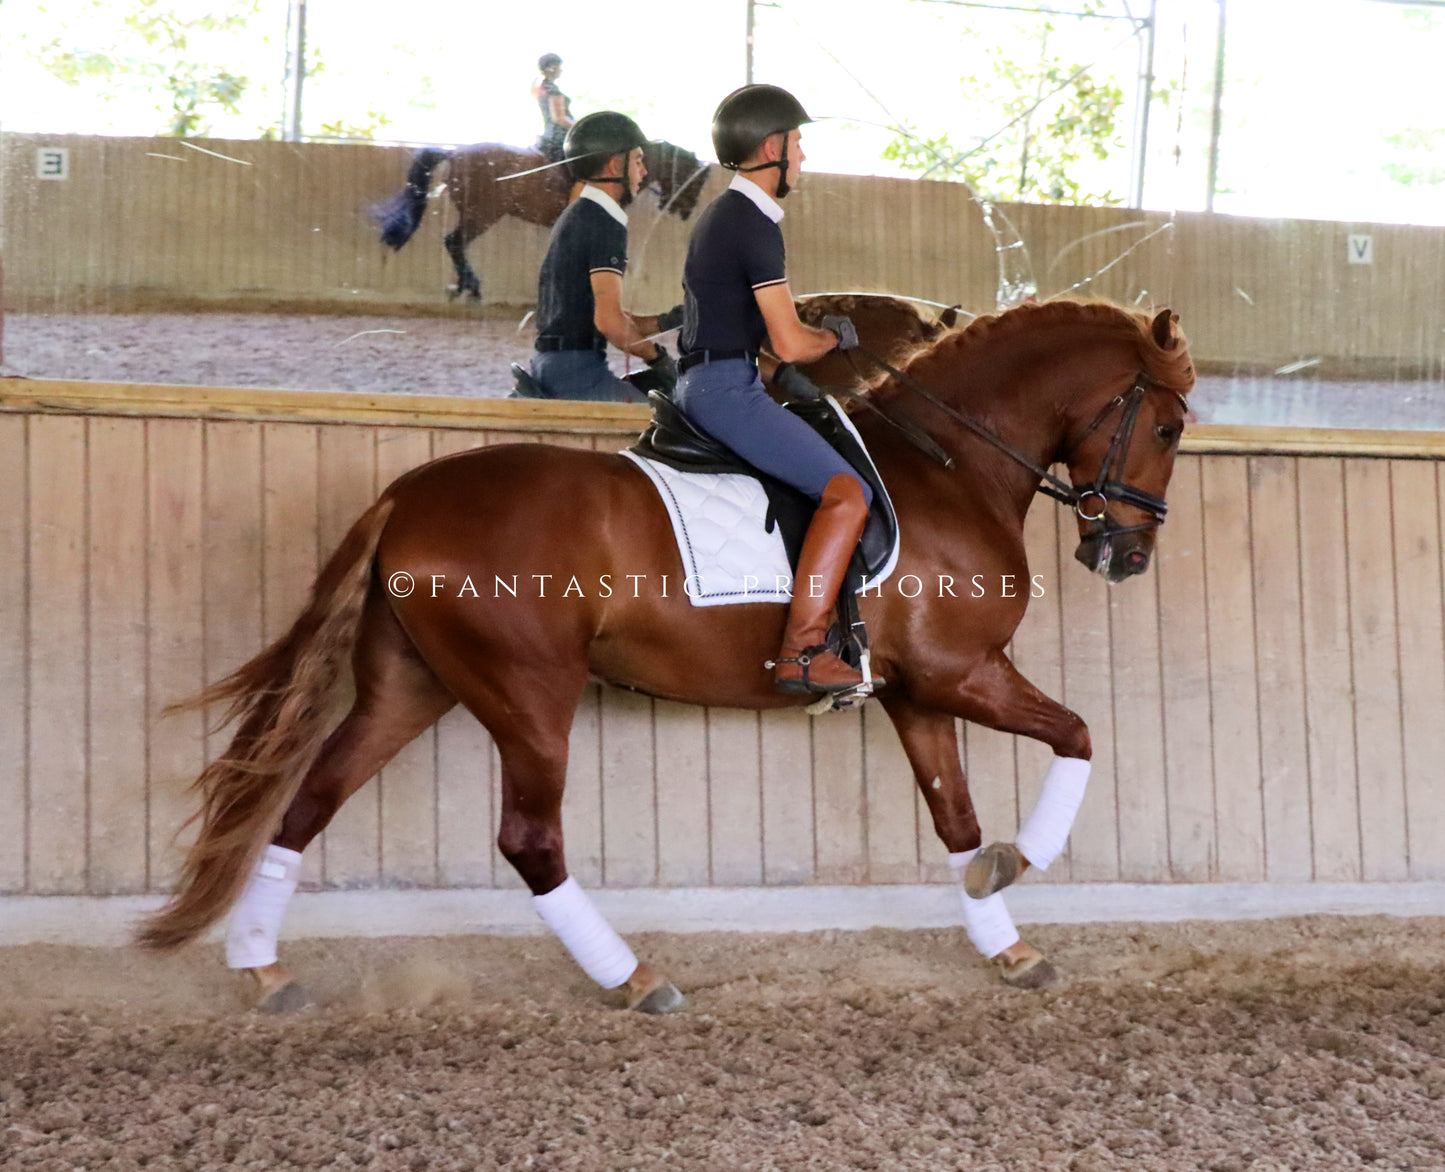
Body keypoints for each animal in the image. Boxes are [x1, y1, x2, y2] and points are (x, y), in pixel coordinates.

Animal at [137, 298, 1195, 1013]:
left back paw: (263, 967)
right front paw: (1024, 862)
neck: (949, 470)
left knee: (310, 797)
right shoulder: (958, 675)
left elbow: (956, 819)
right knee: (529, 840)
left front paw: (1004, 939)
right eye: (1170, 425)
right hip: (528, 694)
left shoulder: (917, 694)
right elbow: (1078, 736)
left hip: (412, 685)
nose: (1126, 556)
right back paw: (633, 976)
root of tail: (409, 495)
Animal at [373, 140, 709, 301]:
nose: (685, 210)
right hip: (482, 216)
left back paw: (464, 287)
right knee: (454, 242)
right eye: (695, 182)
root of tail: (455, 154)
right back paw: (471, 288)